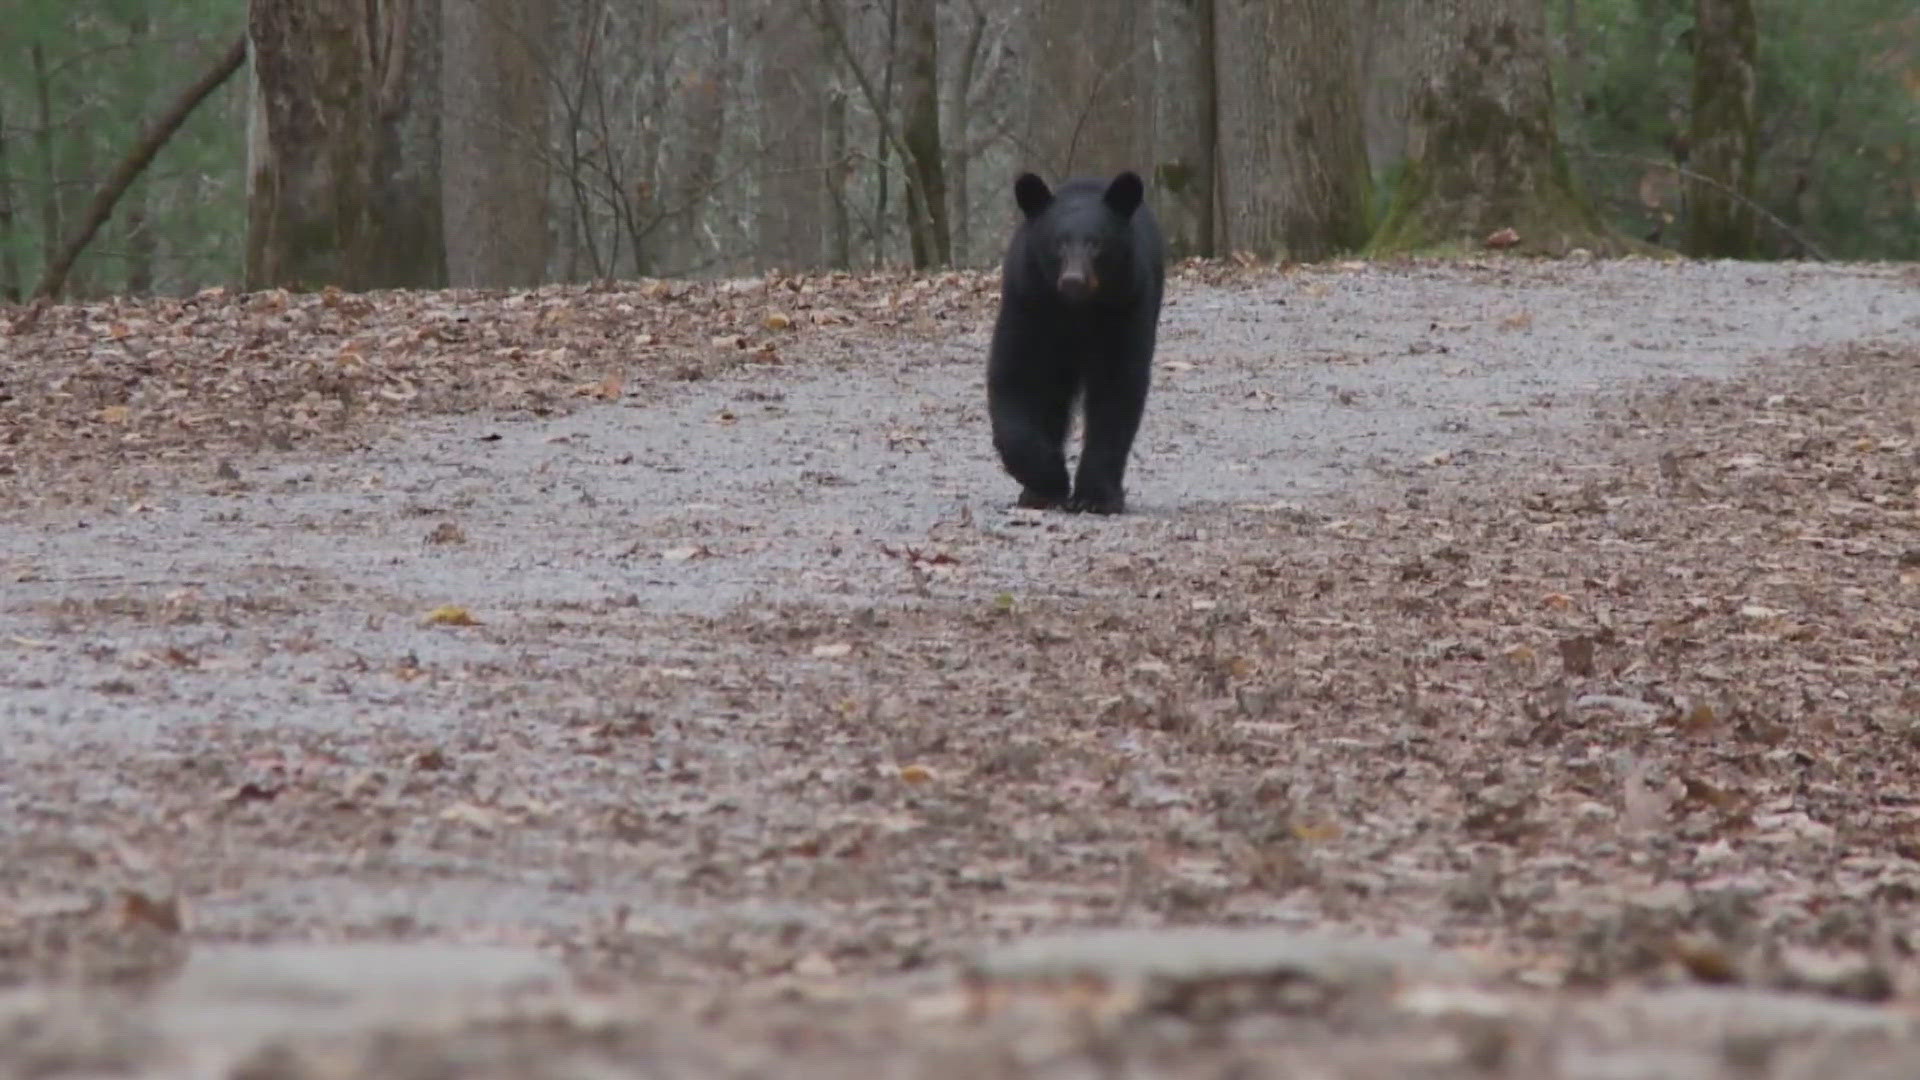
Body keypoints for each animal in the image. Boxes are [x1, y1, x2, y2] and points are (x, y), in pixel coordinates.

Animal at [983, 170, 1159, 515]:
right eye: (1058, 243)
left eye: (1097, 243)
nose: (1073, 280)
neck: (1076, 310)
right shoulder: (1027, 303)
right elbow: (1016, 377)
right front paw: (1049, 480)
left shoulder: (1126, 306)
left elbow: (1117, 390)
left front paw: (1096, 496)